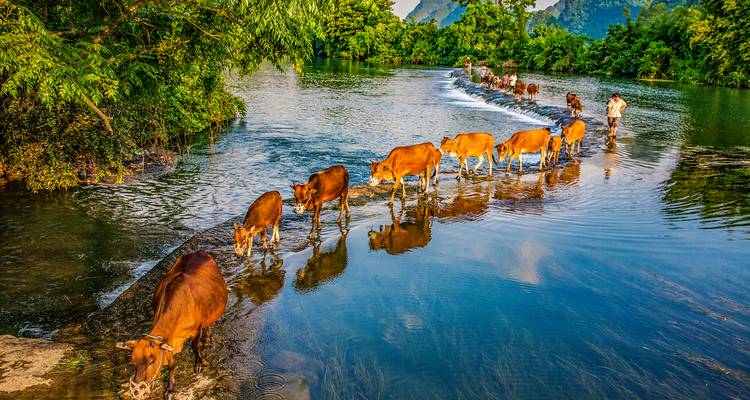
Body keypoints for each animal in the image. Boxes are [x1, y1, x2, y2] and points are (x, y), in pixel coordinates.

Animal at [116, 252, 228, 400]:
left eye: (151, 361)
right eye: (133, 362)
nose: (136, 393)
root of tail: (200, 253)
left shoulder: (196, 330)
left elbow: (195, 346)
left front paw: (198, 363)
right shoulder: (168, 339)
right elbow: (171, 363)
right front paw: (170, 388)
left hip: (212, 310)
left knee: (209, 323)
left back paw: (207, 339)